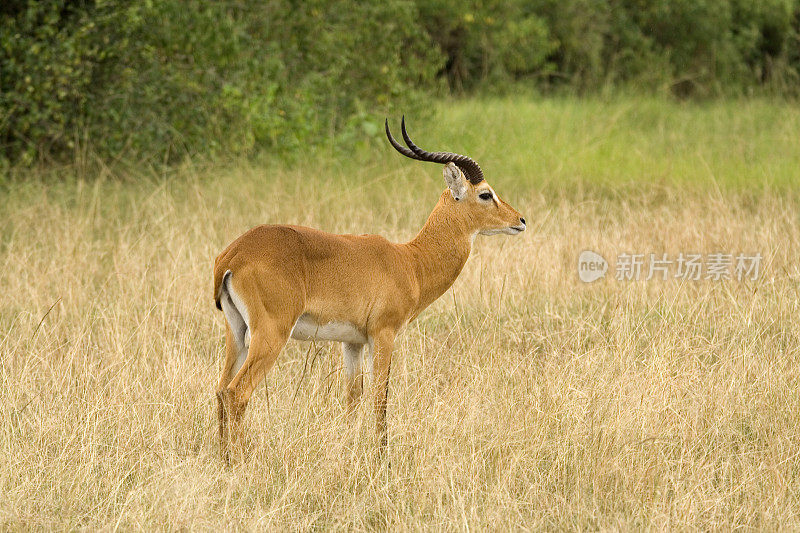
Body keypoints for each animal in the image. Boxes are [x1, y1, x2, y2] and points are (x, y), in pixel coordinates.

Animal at [212, 118, 524, 460]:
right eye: (485, 194)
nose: (520, 220)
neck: (410, 262)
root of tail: (233, 255)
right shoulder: (383, 334)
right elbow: (380, 397)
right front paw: (382, 457)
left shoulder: (353, 343)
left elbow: (353, 398)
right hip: (271, 334)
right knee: (237, 392)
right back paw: (242, 461)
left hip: (236, 331)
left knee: (221, 390)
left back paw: (224, 460)